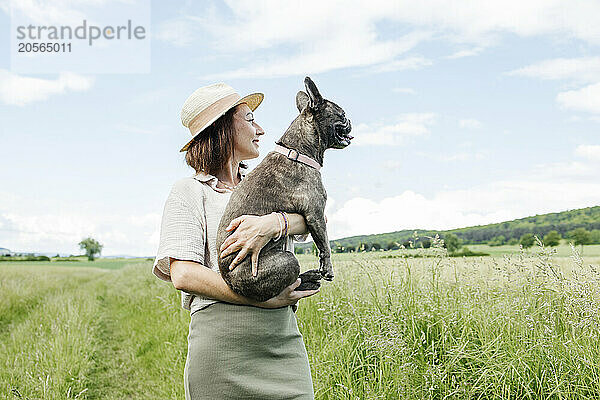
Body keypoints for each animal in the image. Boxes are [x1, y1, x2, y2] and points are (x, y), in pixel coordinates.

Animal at [218, 76, 354, 302]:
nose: (350, 120)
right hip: (288, 260)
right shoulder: (316, 214)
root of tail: (229, 283)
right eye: (342, 114)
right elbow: (324, 244)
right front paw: (328, 269)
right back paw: (308, 279)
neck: (298, 150)